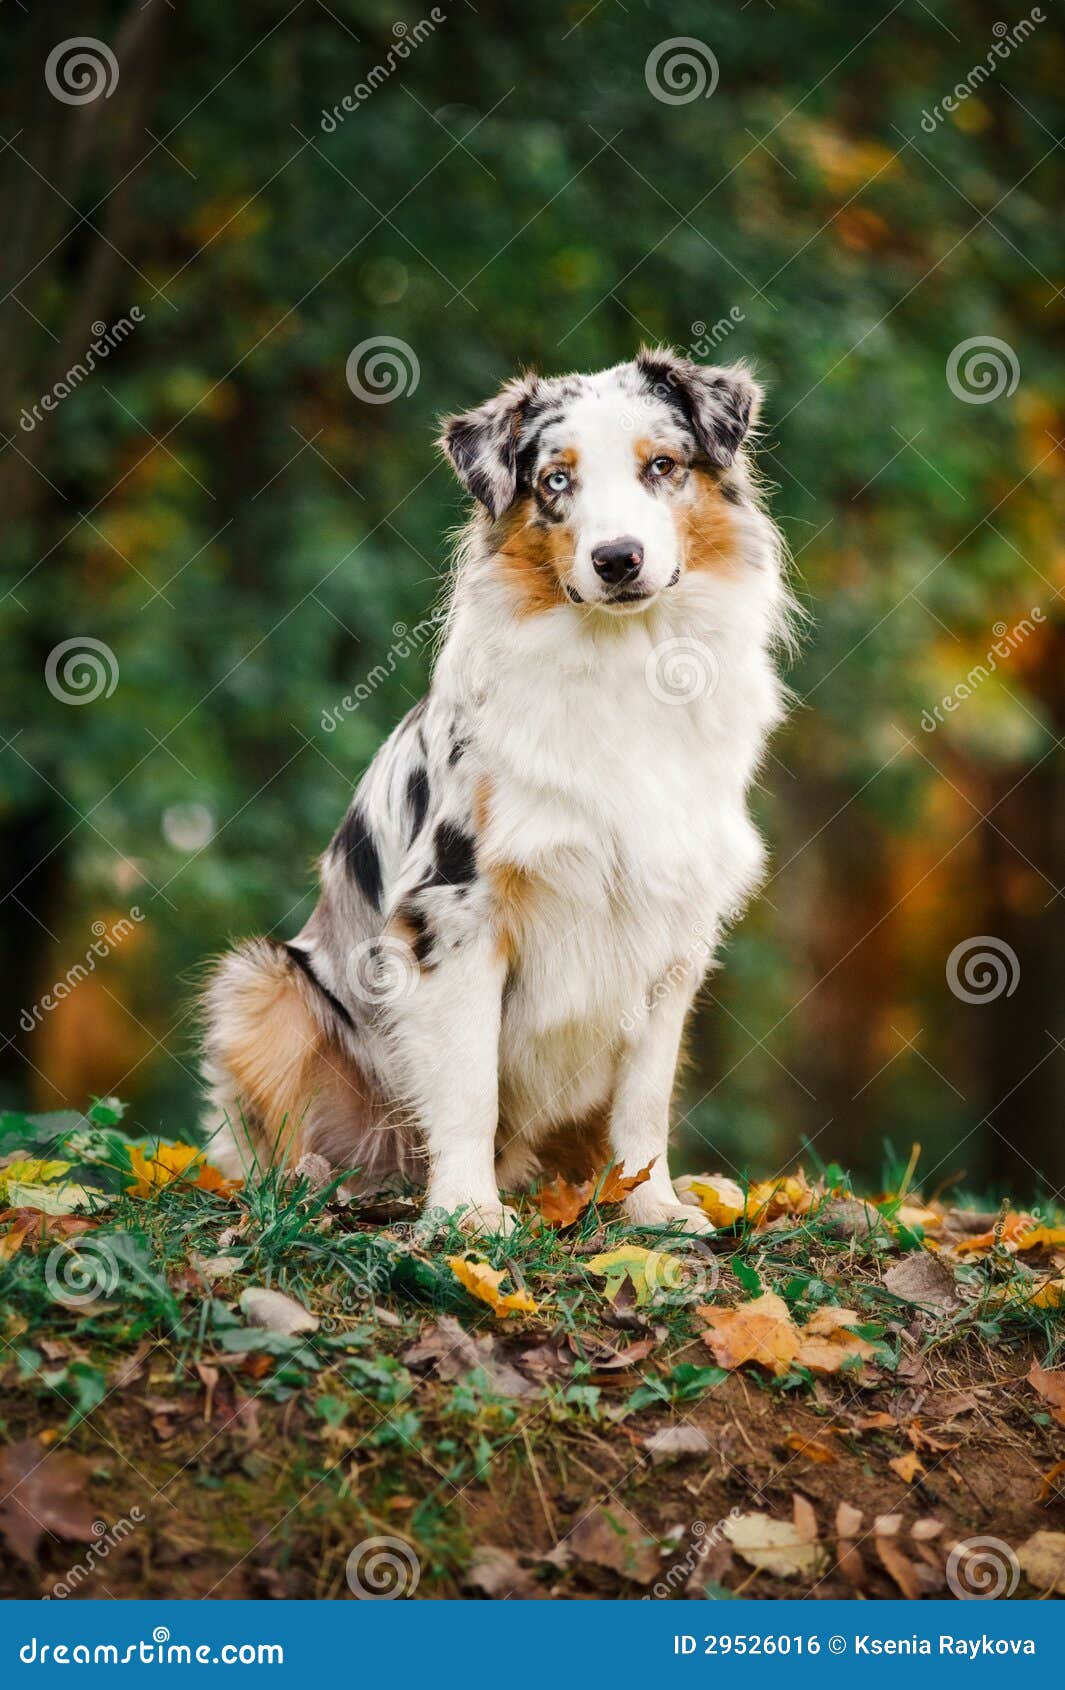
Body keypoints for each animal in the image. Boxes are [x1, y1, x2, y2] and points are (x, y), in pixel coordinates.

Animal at [204, 346, 794, 1243]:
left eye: (661, 466)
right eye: (556, 480)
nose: (617, 558)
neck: (625, 658)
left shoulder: (674, 928)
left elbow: (645, 1097)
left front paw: (652, 1207)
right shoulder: (456, 910)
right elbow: (468, 1087)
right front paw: (466, 1216)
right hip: (262, 982)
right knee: (272, 1148)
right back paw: (320, 1184)